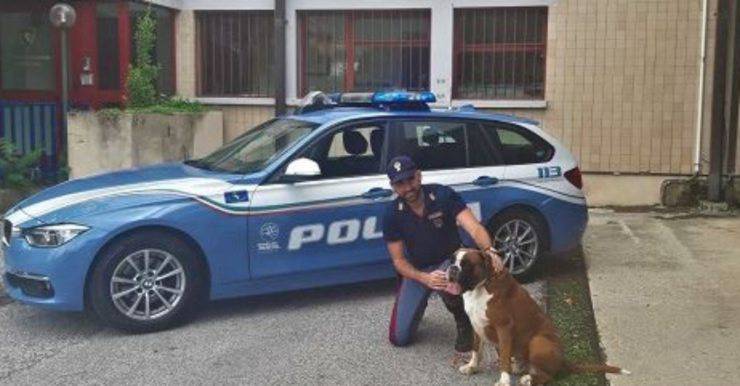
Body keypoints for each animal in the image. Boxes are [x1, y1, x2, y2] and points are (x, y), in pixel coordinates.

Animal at [446, 249, 632, 384]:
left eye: (467, 264)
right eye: (452, 260)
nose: (452, 268)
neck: (481, 286)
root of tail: (563, 360)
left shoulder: (504, 328)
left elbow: (504, 359)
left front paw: (504, 380)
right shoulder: (476, 325)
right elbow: (476, 349)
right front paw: (472, 367)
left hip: (538, 341)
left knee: (547, 376)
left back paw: (529, 378)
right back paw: (520, 367)